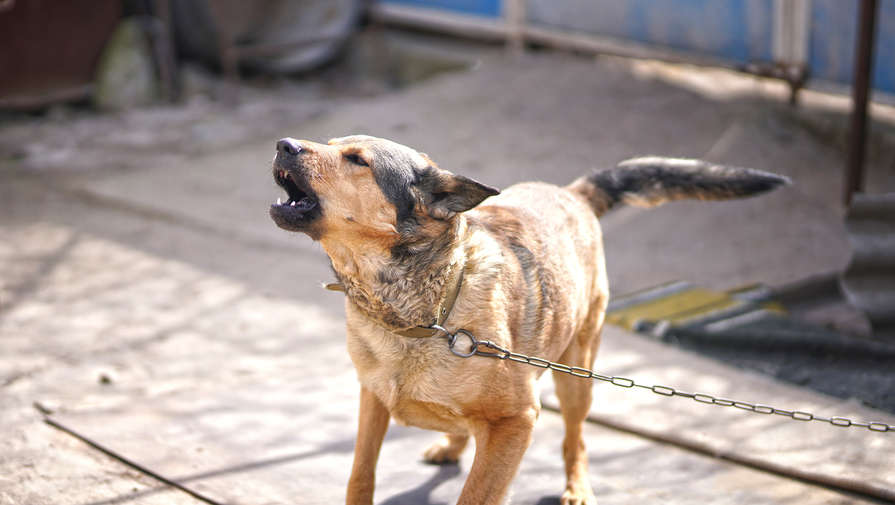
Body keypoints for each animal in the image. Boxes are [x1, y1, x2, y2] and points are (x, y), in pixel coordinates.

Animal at [270, 135, 788, 504]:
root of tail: (573, 193)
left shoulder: (515, 422)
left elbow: (477, 495)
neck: (421, 315)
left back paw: (577, 487)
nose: (283, 144)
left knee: (575, 439)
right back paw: (452, 444)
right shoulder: (372, 400)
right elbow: (361, 476)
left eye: (357, 160)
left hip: (576, 374)